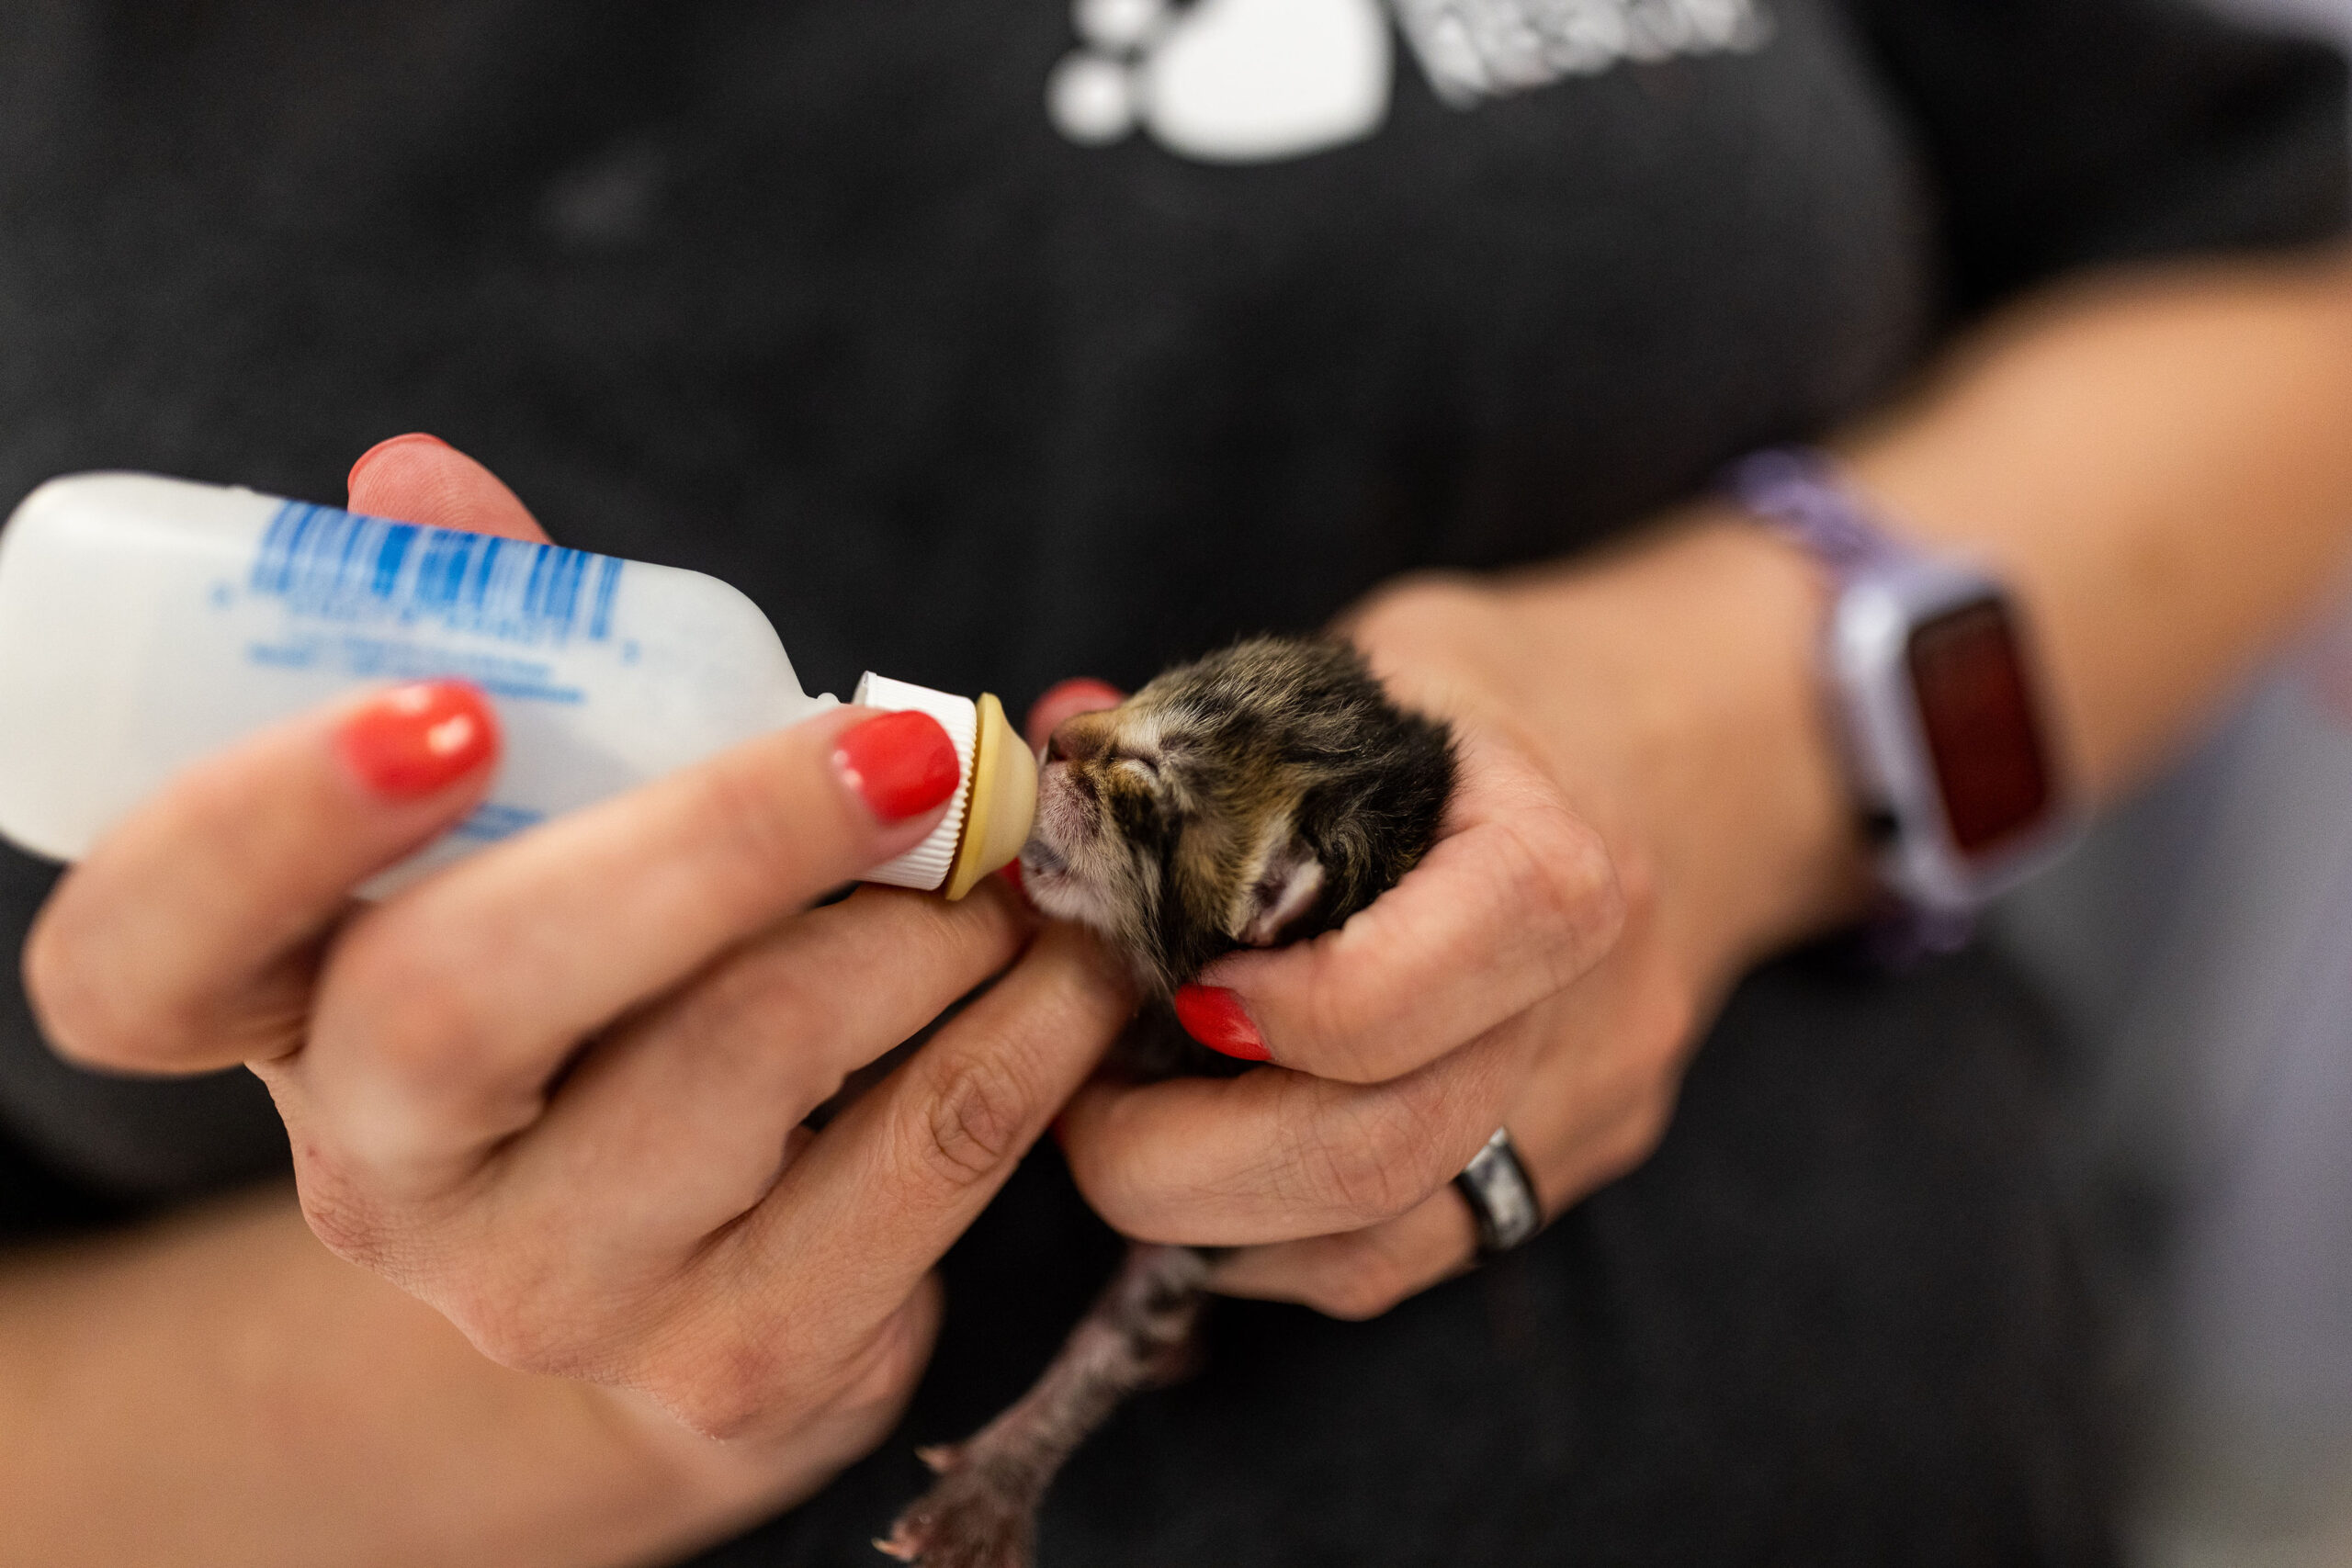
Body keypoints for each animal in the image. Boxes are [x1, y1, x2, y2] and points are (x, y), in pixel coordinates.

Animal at [879, 634, 1448, 1568]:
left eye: (1144, 778)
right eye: (1149, 689)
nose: (1059, 736)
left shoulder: (1204, 1223)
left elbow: (1116, 1338)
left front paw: (994, 1481)